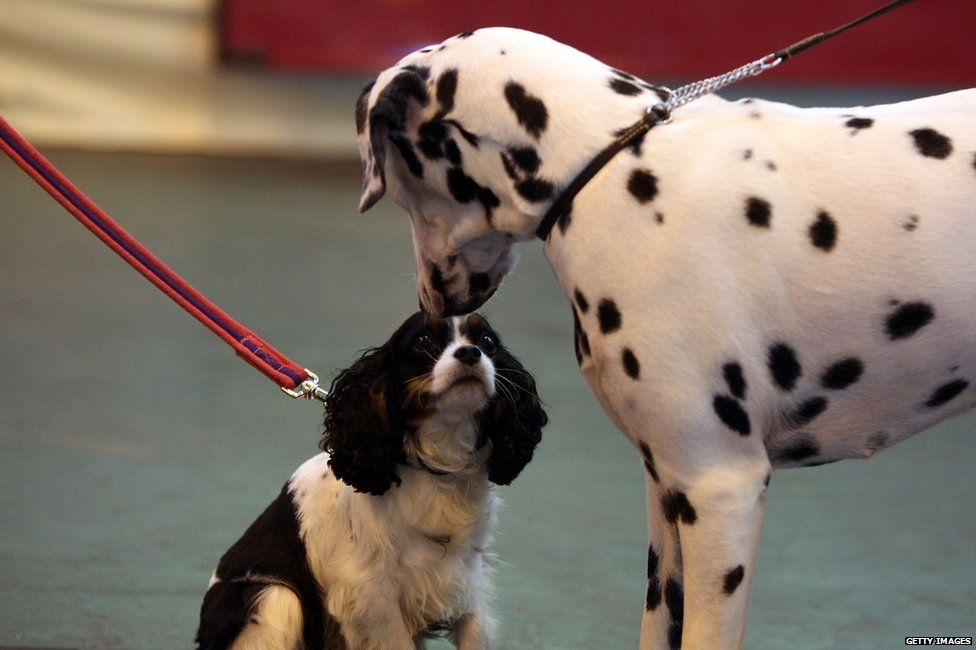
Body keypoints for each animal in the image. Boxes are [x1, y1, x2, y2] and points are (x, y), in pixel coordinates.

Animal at [196, 312, 548, 644]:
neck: (437, 470)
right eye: (424, 341)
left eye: (487, 341)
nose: (471, 352)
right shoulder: (373, 599)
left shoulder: (468, 586)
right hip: (273, 597)